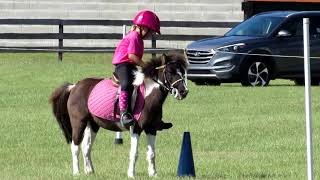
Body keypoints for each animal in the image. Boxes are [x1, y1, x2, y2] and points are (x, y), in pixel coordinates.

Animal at [48, 52, 189, 179]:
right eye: (170, 72)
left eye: (183, 73)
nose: (184, 92)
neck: (148, 97)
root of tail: (74, 86)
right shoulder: (135, 128)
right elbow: (134, 152)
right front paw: (131, 174)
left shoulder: (151, 129)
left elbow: (152, 153)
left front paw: (153, 174)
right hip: (79, 123)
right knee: (75, 146)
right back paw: (76, 172)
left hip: (93, 124)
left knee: (86, 147)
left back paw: (90, 171)